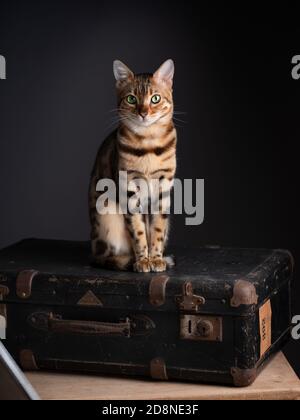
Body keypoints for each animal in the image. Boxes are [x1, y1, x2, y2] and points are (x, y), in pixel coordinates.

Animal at [89, 60, 178, 274]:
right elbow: (138, 231)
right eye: (131, 99)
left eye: (155, 98)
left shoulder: (163, 189)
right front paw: (143, 261)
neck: (148, 144)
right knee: (106, 256)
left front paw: (156, 259)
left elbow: (157, 229)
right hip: (107, 217)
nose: (143, 113)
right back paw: (128, 259)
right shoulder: (129, 188)